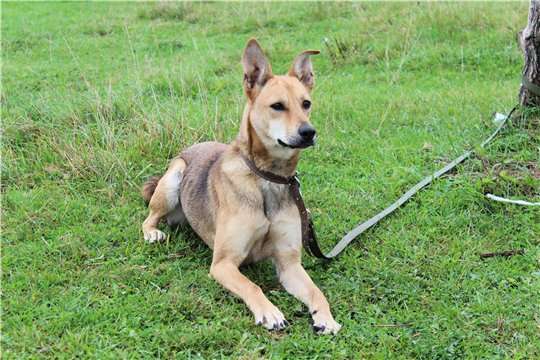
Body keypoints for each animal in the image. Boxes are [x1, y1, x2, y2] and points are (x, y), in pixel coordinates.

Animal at [141, 39, 340, 334]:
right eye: (277, 106)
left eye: (306, 103)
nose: (309, 132)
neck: (267, 177)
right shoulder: (223, 264)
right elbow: (252, 286)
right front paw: (270, 312)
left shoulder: (289, 263)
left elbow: (317, 291)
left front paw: (325, 317)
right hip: (172, 181)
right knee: (149, 217)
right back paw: (152, 232)